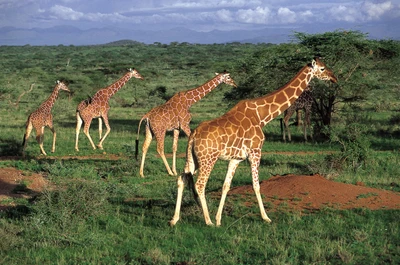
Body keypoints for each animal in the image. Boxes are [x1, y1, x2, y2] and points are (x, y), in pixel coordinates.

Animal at [169, 57, 338, 225]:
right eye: (322, 69)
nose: (334, 78)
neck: (261, 116)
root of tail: (193, 134)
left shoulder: (236, 158)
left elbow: (226, 186)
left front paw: (218, 220)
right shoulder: (256, 152)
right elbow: (256, 185)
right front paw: (266, 217)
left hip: (192, 159)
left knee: (181, 179)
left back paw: (175, 219)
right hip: (208, 159)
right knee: (200, 184)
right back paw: (207, 221)